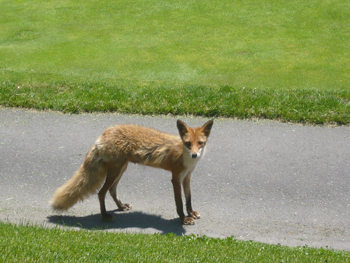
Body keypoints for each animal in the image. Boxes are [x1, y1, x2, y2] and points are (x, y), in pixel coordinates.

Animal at [49, 119, 213, 225]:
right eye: (188, 143)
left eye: (200, 143)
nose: (194, 155)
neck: (185, 158)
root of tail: (103, 135)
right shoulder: (176, 179)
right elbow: (179, 203)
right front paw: (183, 219)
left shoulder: (187, 177)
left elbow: (188, 199)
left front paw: (191, 213)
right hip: (115, 171)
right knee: (101, 193)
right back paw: (104, 216)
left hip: (121, 169)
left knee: (112, 191)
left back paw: (121, 207)